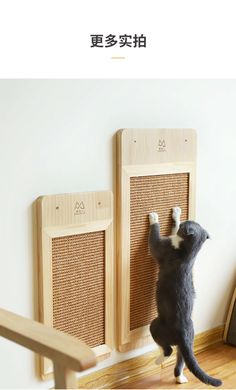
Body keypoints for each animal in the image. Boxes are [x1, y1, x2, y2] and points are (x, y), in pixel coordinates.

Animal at [148, 207, 222, 386]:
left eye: (186, 225)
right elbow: (173, 229)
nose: (185, 221)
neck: (189, 253)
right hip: (186, 345)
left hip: (156, 325)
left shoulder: (163, 247)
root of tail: (183, 334)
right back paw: (180, 378)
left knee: (168, 349)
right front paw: (176, 213)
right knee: (181, 361)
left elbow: (154, 240)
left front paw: (154, 217)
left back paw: (158, 360)